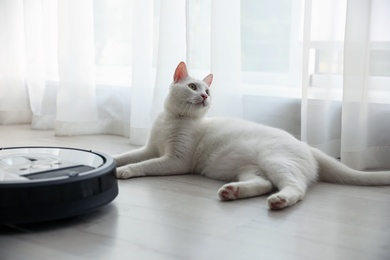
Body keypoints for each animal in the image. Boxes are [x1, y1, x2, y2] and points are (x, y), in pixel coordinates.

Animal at [113, 62, 390, 210]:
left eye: (208, 91)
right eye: (192, 87)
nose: (204, 96)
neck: (174, 120)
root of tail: (307, 146)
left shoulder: (176, 160)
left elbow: (146, 165)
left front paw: (123, 171)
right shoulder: (150, 148)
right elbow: (128, 155)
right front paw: (114, 161)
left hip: (275, 161)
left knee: (296, 187)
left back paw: (280, 200)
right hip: (250, 169)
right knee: (264, 183)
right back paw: (232, 191)